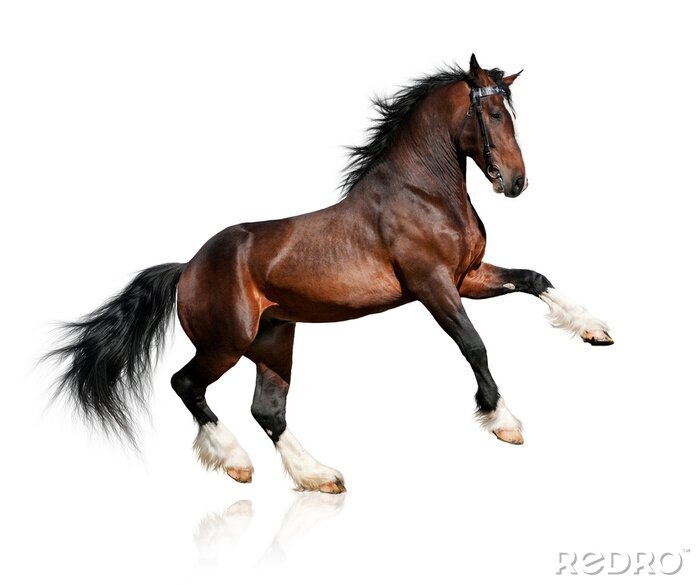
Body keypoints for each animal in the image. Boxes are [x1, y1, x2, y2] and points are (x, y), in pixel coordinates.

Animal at [46, 54, 613, 494]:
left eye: (511, 112)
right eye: (492, 112)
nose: (515, 182)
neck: (423, 193)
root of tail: (187, 268)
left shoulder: (467, 277)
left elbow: (534, 279)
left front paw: (595, 331)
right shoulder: (433, 285)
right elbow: (474, 346)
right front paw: (504, 423)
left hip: (274, 340)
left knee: (268, 411)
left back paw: (317, 476)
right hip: (225, 343)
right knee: (186, 384)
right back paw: (235, 463)